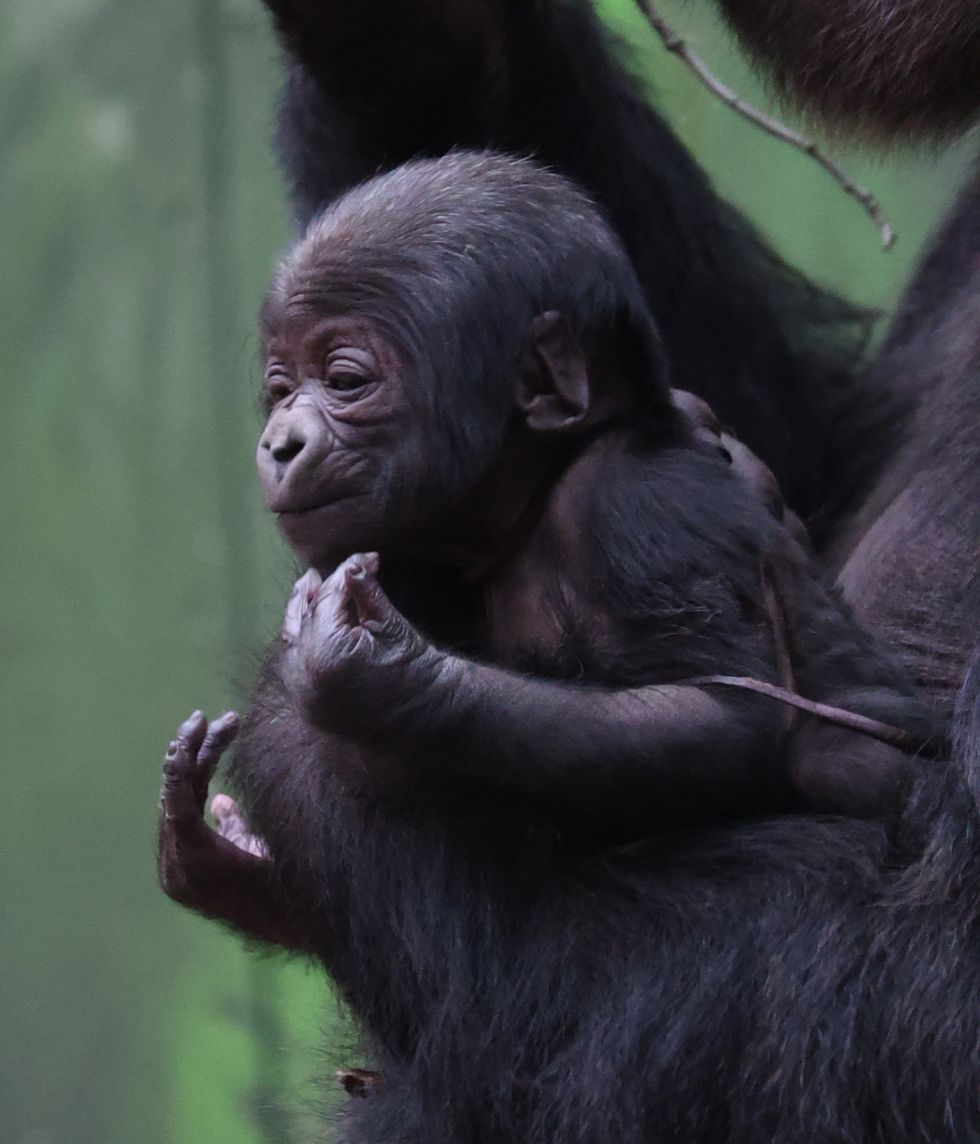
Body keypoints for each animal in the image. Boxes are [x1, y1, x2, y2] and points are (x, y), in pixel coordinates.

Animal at [158, 154, 933, 947]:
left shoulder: (636, 507)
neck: (534, 493)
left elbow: (729, 718)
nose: (280, 442)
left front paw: (379, 675)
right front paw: (231, 869)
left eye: (345, 380)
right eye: (280, 388)